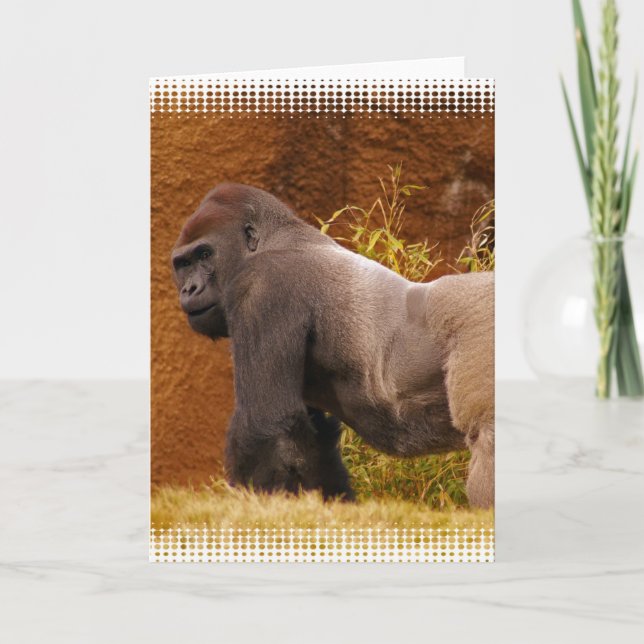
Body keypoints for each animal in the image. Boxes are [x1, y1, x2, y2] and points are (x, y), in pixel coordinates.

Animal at [171, 183, 494, 508]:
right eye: (183, 264)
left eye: (204, 254)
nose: (189, 289)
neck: (274, 239)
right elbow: (312, 442)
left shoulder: (261, 286)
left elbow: (266, 423)